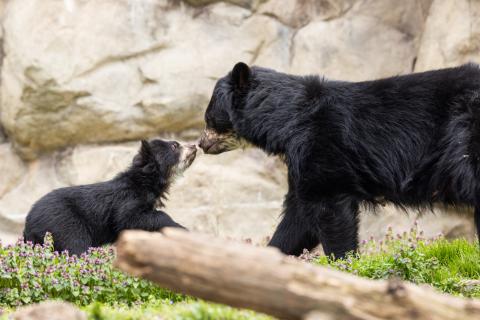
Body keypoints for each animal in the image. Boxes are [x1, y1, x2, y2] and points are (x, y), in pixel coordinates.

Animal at [23, 140, 196, 255]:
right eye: (175, 146)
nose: (195, 146)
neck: (145, 183)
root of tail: (29, 222)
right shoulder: (128, 199)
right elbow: (131, 218)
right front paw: (181, 228)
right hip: (64, 222)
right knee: (75, 245)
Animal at [198, 62, 480, 258]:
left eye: (209, 118)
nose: (201, 144)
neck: (288, 121)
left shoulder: (321, 144)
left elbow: (328, 207)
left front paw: (345, 264)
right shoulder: (300, 159)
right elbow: (297, 218)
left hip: (464, 138)